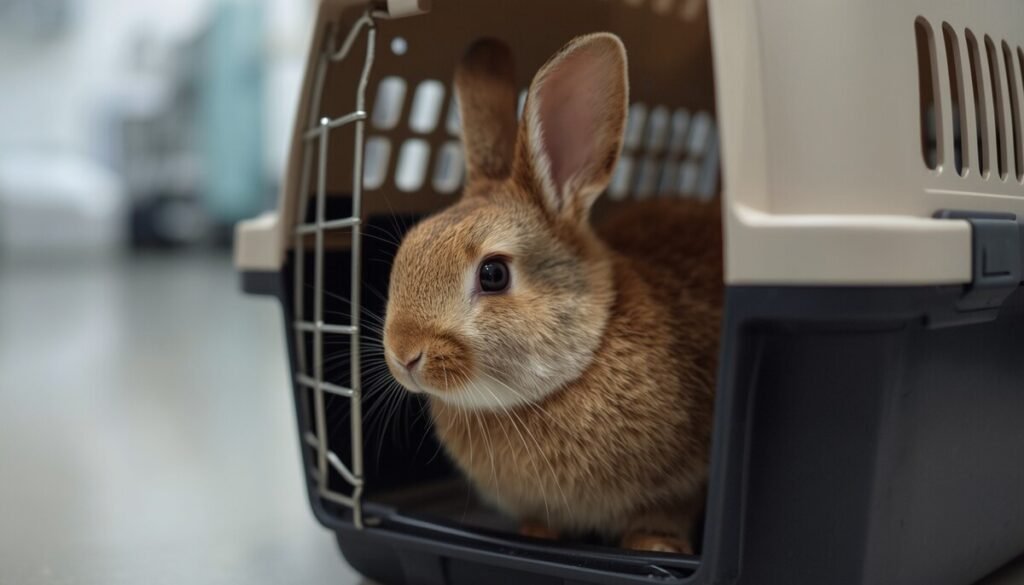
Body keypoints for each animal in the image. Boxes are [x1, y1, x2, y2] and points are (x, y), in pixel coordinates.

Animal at [382, 33, 722, 554]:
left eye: (494, 275)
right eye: (408, 247)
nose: (404, 354)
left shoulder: (682, 484)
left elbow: (664, 515)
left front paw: (654, 546)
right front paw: (535, 535)